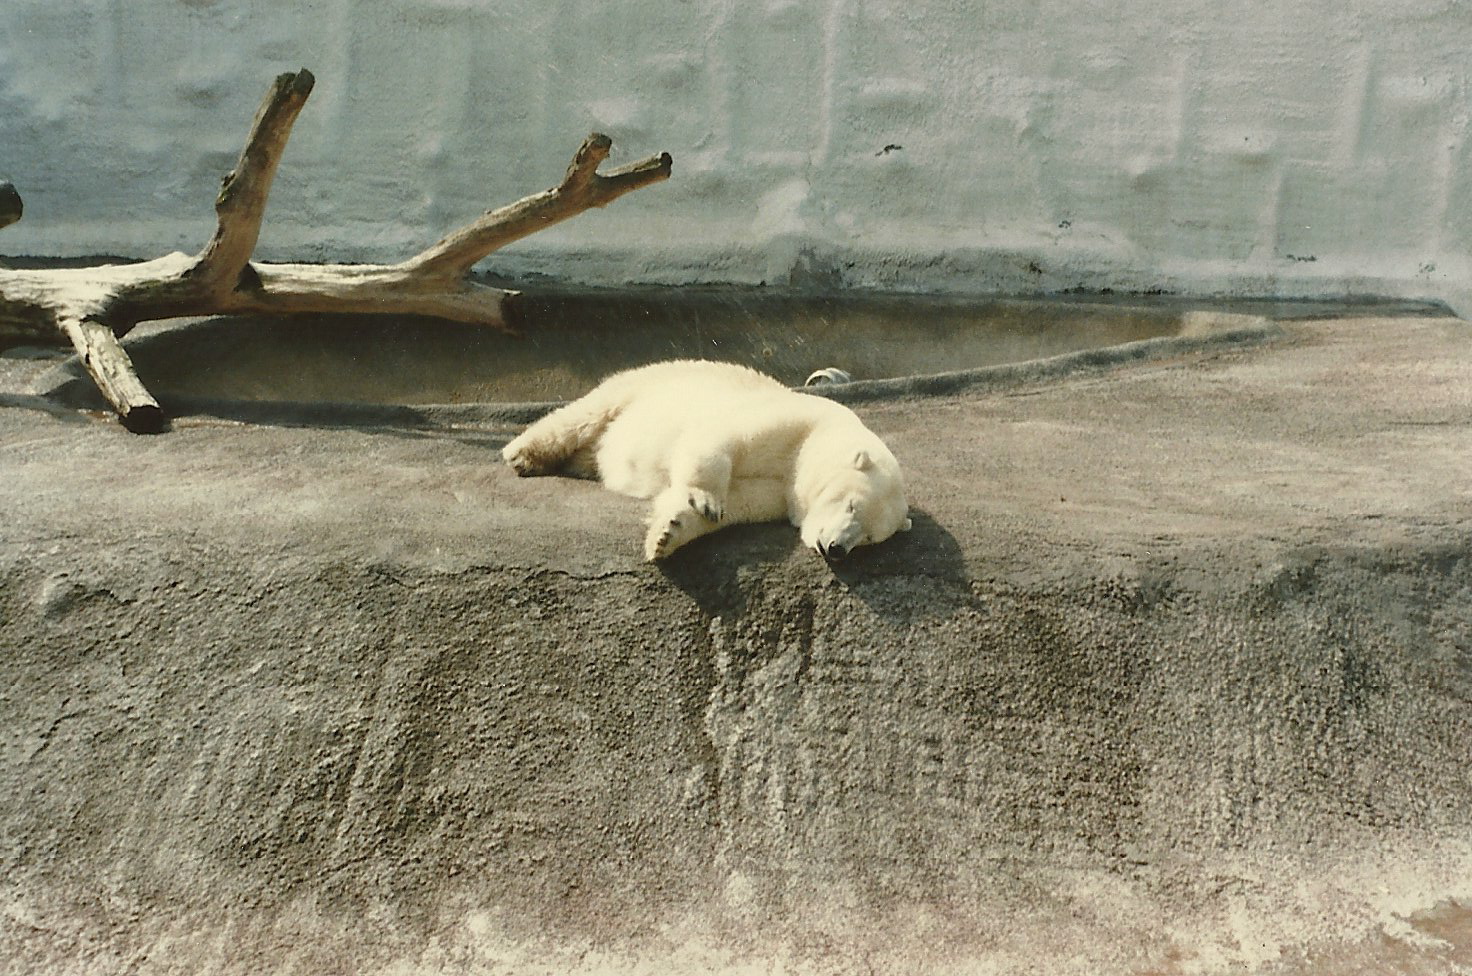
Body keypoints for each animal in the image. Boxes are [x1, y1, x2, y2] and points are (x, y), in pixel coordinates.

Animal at [501, 360, 911, 561]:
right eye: (852, 505)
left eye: (870, 538)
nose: (838, 549)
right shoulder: (792, 421)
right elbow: (719, 439)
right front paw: (705, 498)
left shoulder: (778, 494)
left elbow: (741, 503)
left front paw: (668, 534)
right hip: (642, 386)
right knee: (584, 415)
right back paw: (523, 455)